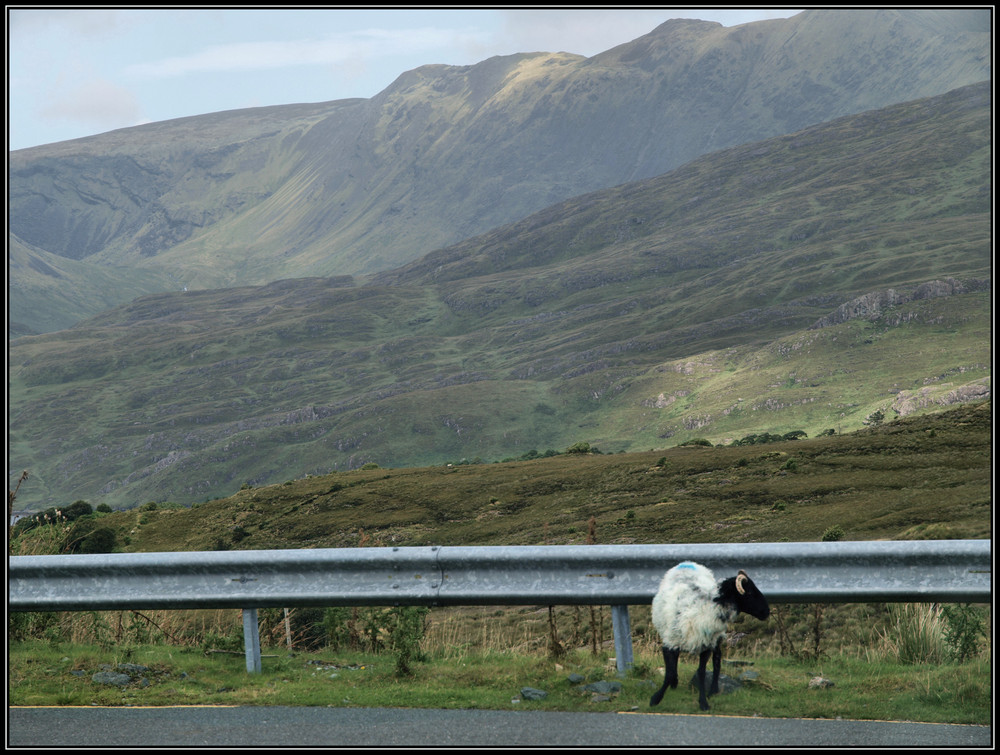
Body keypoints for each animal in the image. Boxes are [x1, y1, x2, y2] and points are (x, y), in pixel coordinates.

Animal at [648, 560, 772, 716]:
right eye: (749, 592)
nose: (767, 611)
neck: (706, 608)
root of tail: (687, 563)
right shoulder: (669, 643)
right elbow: (669, 672)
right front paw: (656, 698)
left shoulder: (706, 645)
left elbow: (701, 673)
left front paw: (703, 702)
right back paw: (675, 683)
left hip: (716, 638)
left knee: (717, 660)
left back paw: (713, 690)